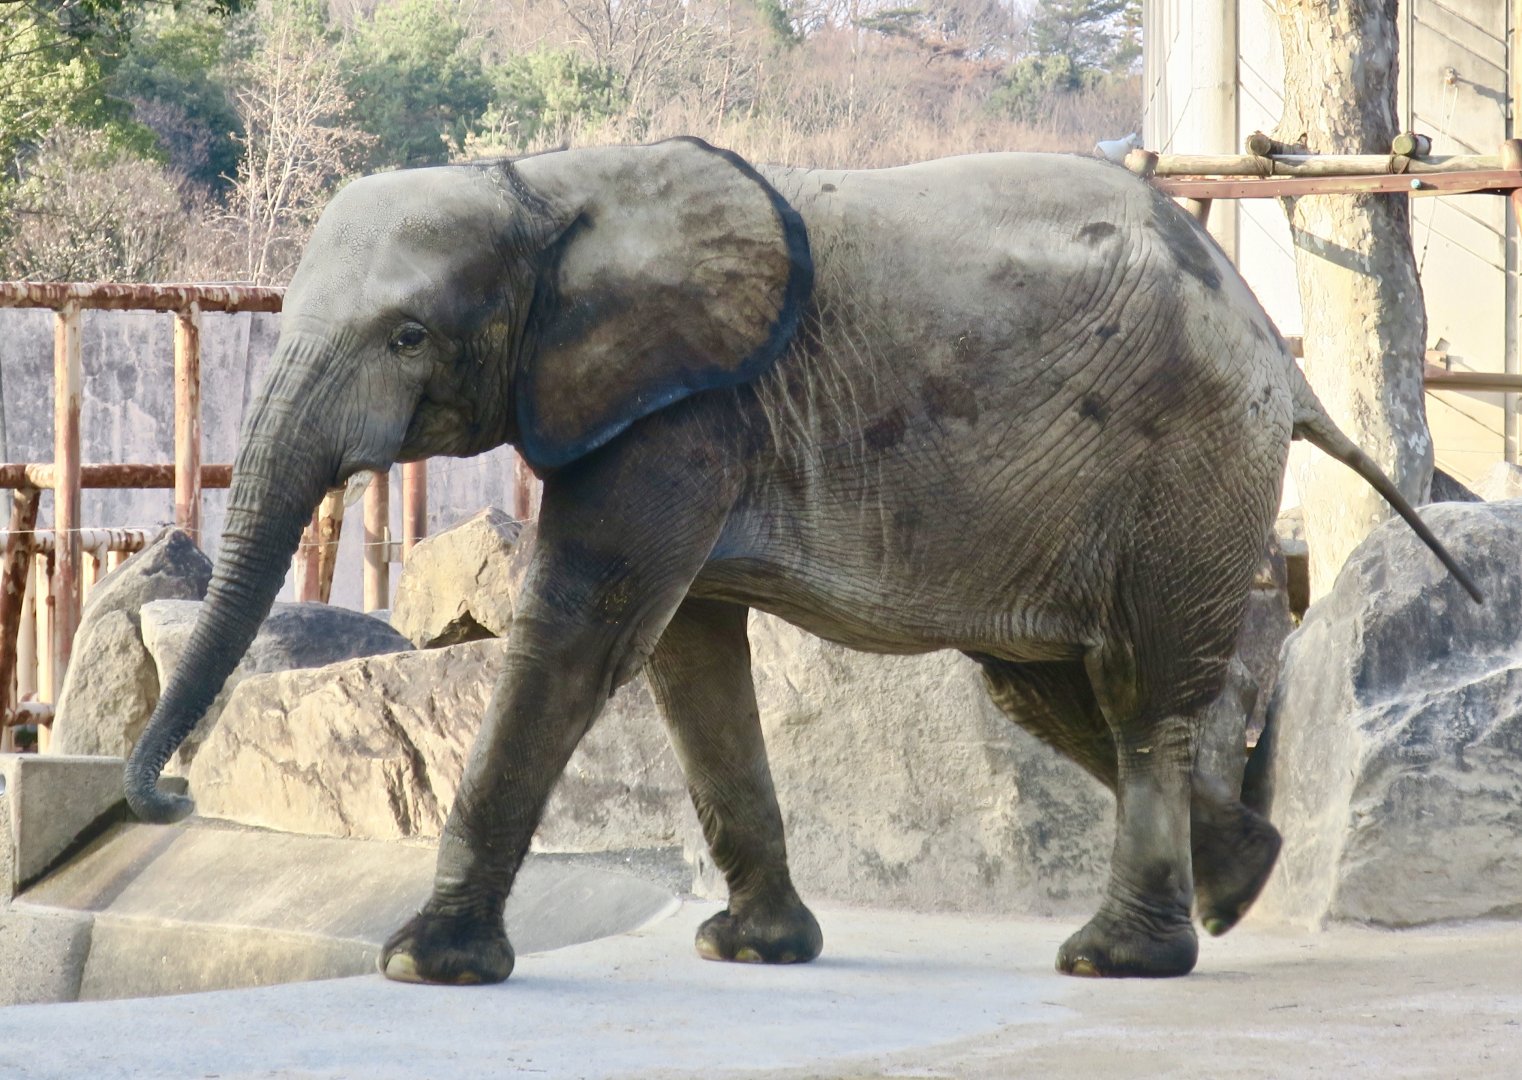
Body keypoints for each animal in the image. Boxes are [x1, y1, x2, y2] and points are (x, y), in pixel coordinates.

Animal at [125, 137, 1477, 983]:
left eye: (409, 336)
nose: (168, 797)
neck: (545, 186)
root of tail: (1275, 352)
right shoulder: (672, 417)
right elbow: (686, 662)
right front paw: (753, 950)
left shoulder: (681, 414)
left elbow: (584, 629)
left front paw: (426, 962)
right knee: (1046, 688)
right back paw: (1237, 883)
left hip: (1183, 460)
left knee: (1136, 690)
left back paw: (1122, 955)